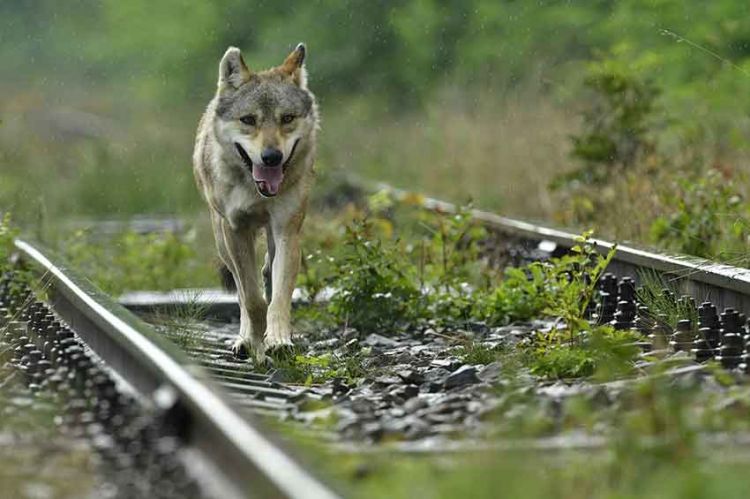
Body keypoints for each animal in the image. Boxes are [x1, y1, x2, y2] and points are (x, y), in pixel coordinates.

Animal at [192, 43, 318, 362]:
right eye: (248, 120)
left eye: (287, 119)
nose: (271, 157)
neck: (256, 191)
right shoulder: (236, 230)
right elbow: (251, 299)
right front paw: (254, 343)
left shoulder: (287, 231)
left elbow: (279, 299)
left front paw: (279, 341)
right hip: (222, 240)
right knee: (240, 290)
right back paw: (244, 340)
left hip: (273, 236)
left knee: (268, 273)